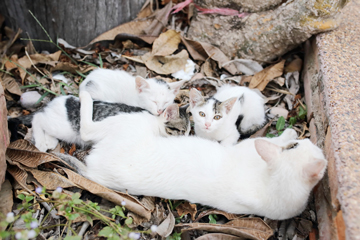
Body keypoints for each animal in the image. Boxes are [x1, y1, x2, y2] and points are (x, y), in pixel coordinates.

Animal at [28, 94, 188, 151]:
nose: (186, 140)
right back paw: (41, 142)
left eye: (188, 132)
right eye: (180, 131)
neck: (154, 122)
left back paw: (50, 141)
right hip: (62, 126)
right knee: (38, 117)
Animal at [60, 91, 328, 220]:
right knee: (86, 129)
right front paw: (289, 134)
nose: (307, 140)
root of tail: (93, 167)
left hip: (128, 125)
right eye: (297, 146)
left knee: (86, 130)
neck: (274, 184)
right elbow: (267, 142)